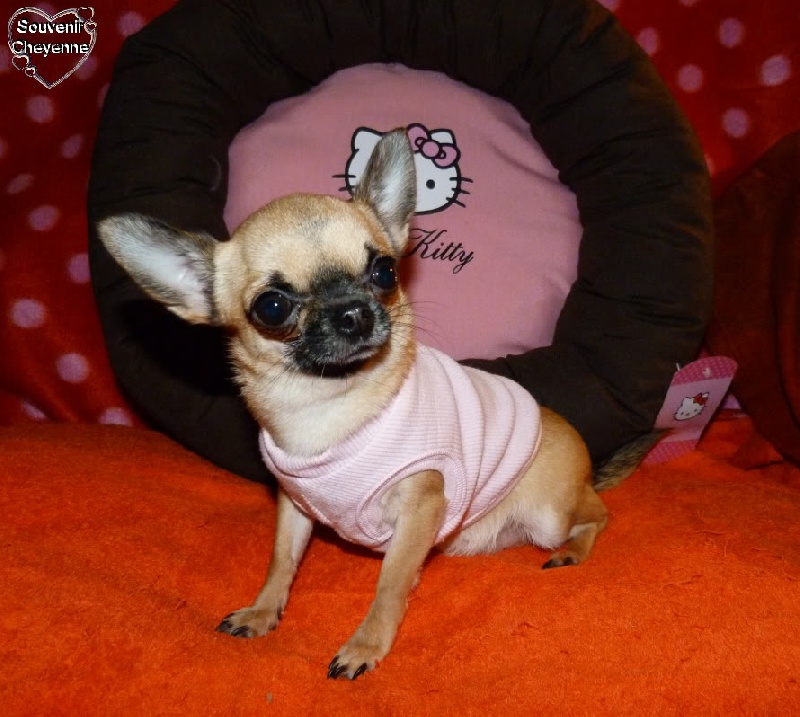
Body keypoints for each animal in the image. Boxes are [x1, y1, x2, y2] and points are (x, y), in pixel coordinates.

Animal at [98, 129, 640, 680]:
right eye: (272, 307)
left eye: (384, 272)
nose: (353, 312)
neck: (329, 407)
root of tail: (585, 468)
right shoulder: (295, 506)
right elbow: (281, 561)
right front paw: (263, 610)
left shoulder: (421, 507)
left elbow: (390, 584)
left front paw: (366, 645)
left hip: (550, 514)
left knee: (599, 515)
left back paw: (573, 551)